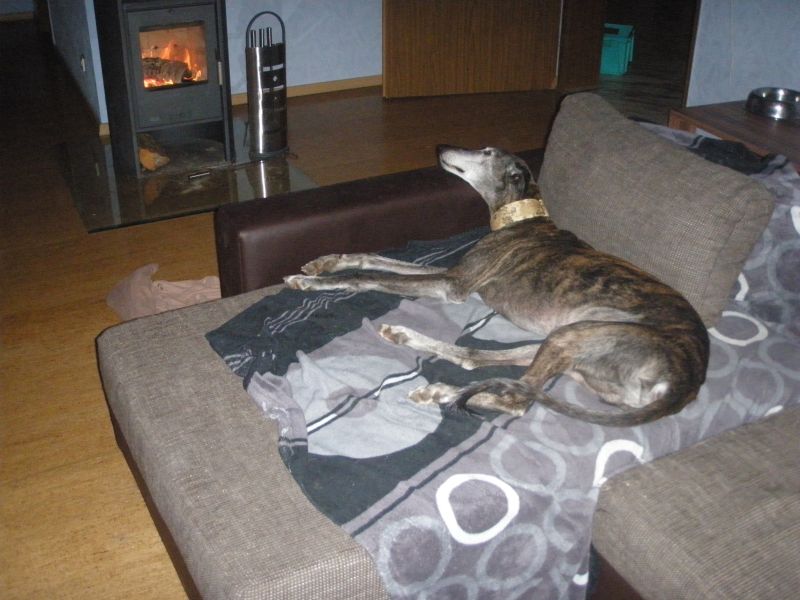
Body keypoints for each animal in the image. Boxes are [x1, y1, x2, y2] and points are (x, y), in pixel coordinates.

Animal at [285, 146, 709, 426]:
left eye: (487, 152)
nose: (441, 147)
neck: (521, 219)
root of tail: (685, 383)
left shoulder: (454, 284)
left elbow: (375, 277)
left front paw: (311, 280)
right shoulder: (455, 273)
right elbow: (375, 260)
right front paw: (326, 262)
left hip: (578, 335)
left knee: (519, 398)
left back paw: (441, 391)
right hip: (566, 344)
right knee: (481, 360)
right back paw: (412, 345)